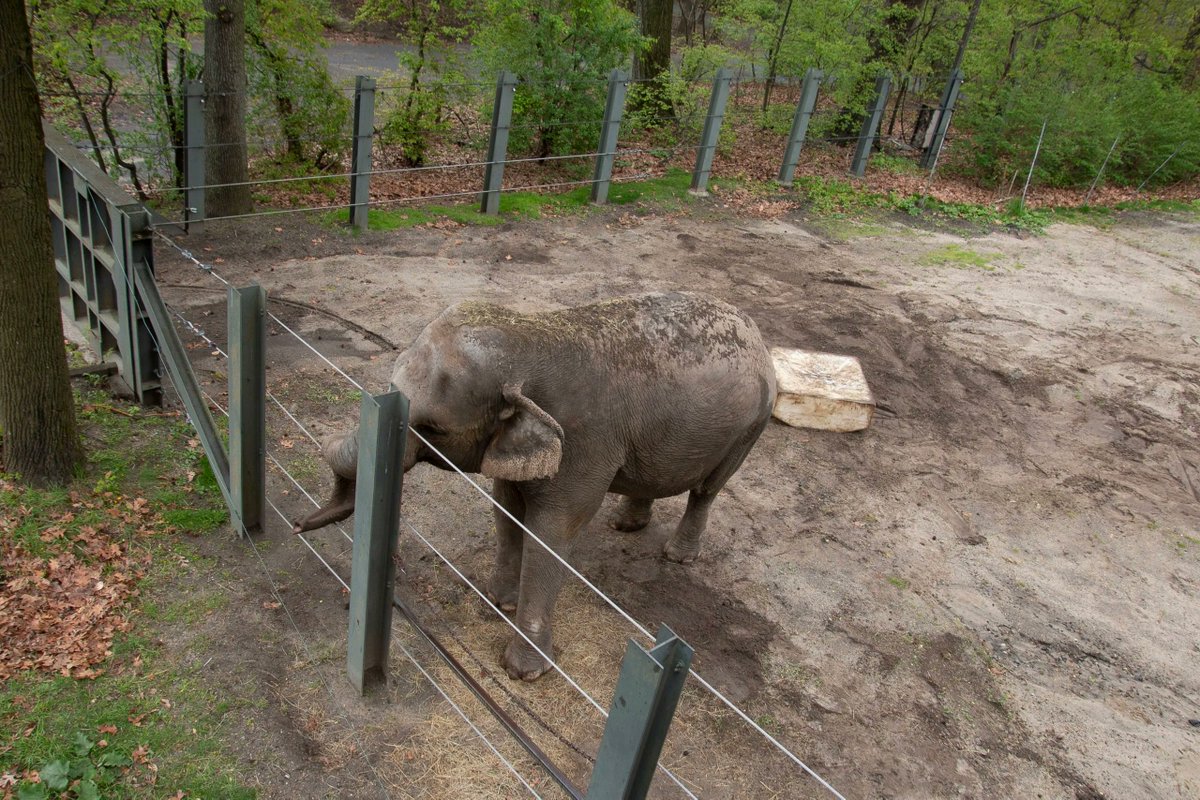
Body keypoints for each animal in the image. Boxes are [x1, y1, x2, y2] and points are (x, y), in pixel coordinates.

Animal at [294, 291, 777, 681]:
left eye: (432, 430)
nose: (297, 524)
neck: (529, 335)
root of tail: (753, 329)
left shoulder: (584, 442)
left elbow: (552, 532)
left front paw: (523, 672)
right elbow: (506, 508)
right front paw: (498, 603)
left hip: (751, 426)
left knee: (708, 489)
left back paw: (677, 556)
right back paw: (627, 524)